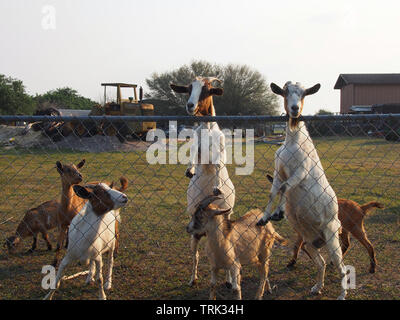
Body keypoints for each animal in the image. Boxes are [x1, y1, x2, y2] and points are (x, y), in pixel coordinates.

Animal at [170, 77, 236, 288]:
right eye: (189, 89)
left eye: (207, 90)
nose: (190, 105)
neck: (207, 129)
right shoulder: (196, 145)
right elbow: (192, 155)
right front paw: (190, 170)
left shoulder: (220, 148)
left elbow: (218, 163)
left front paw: (217, 187)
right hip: (195, 234)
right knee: (195, 255)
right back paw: (193, 278)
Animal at [256, 80, 346, 300]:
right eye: (285, 93)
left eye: (304, 94)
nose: (295, 109)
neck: (293, 141)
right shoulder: (278, 171)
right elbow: (274, 191)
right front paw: (264, 217)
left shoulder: (301, 171)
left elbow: (285, 187)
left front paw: (278, 213)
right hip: (309, 241)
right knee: (321, 263)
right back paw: (317, 287)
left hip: (331, 235)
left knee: (342, 267)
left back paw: (342, 295)